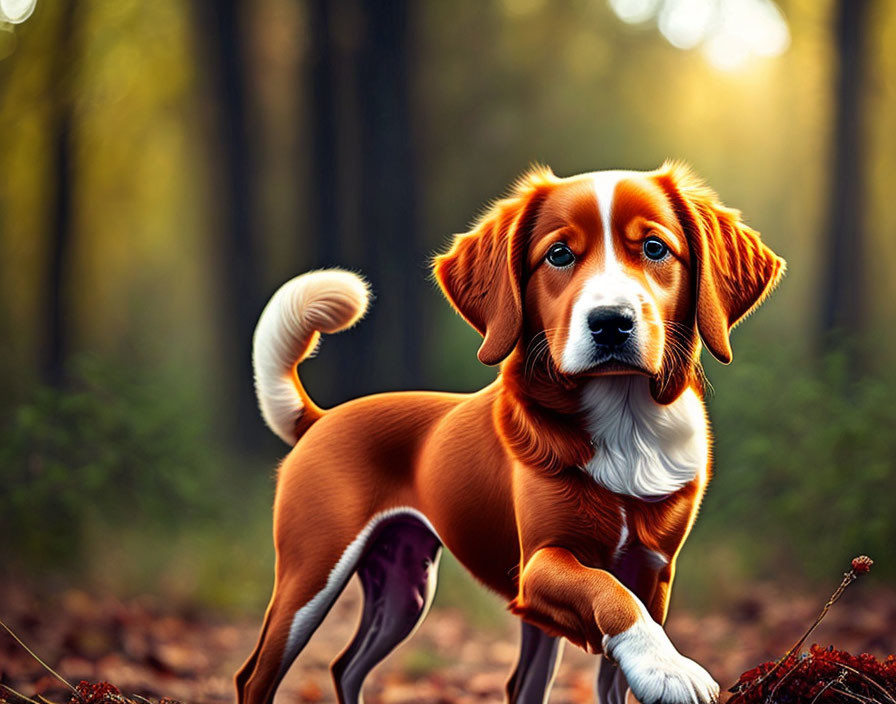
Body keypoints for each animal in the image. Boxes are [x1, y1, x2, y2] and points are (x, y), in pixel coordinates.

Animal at [236, 162, 784, 704]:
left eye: (655, 248)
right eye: (559, 254)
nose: (611, 322)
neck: (624, 421)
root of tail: (321, 417)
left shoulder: (653, 573)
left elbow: (612, 670)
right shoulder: (541, 565)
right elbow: (610, 594)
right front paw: (668, 669)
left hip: (403, 588)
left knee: (347, 667)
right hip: (312, 575)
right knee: (255, 674)